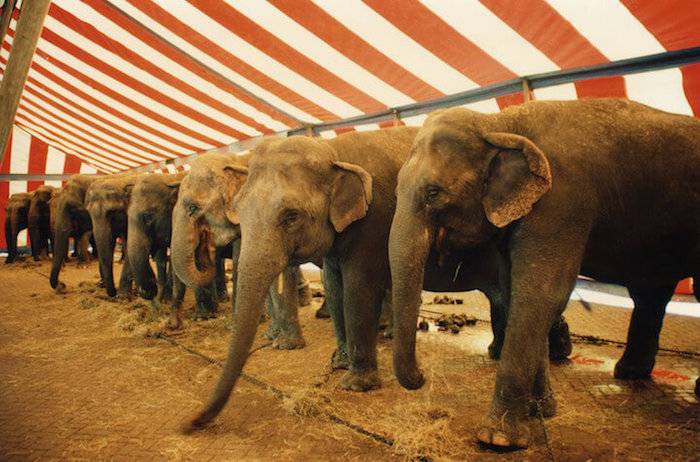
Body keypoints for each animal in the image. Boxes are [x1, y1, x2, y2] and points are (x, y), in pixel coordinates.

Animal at [127, 172, 227, 328]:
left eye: (148, 216)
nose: (149, 292)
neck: (169, 178)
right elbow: (163, 258)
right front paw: (164, 302)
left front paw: (199, 317)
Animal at [388, 99, 700, 448]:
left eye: (433, 193)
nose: (423, 376)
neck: (500, 124)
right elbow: (515, 290)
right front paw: (541, 411)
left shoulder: (563, 201)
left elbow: (542, 292)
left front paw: (498, 439)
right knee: (651, 292)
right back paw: (630, 374)